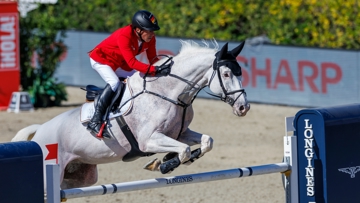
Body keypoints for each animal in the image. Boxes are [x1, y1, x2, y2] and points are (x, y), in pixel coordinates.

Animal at [13, 39, 250, 189]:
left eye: (239, 72)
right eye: (226, 74)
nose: (243, 108)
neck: (169, 92)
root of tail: (39, 132)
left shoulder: (179, 133)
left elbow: (206, 141)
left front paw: (170, 160)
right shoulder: (149, 140)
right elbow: (183, 150)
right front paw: (164, 164)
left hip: (79, 177)